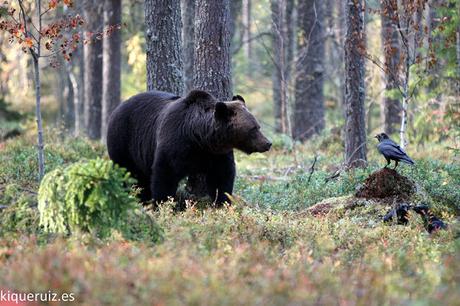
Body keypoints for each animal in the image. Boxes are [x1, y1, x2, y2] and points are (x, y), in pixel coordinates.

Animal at [106, 89, 272, 207]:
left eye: (258, 126)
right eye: (253, 129)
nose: (268, 143)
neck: (199, 137)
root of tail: (117, 108)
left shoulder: (216, 154)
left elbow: (221, 178)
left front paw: (222, 202)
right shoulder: (174, 144)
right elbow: (164, 176)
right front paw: (163, 204)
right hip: (124, 141)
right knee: (128, 173)